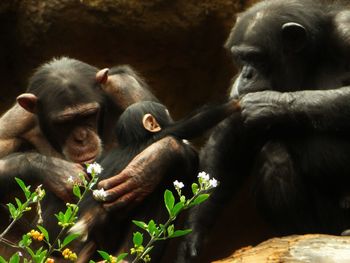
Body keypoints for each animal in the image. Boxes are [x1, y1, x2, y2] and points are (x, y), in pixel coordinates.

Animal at [0, 57, 194, 258]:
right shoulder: (16, 122)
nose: (81, 138)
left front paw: (147, 167)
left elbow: (176, 141)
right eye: (64, 123)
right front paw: (57, 172)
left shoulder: (127, 88)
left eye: (89, 114)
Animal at [178, 0, 350, 262]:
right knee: (275, 156)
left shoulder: (346, 34)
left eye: (255, 57)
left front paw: (267, 104)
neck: (313, 57)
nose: (246, 74)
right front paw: (194, 231)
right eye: (240, 58)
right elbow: (231, 138)